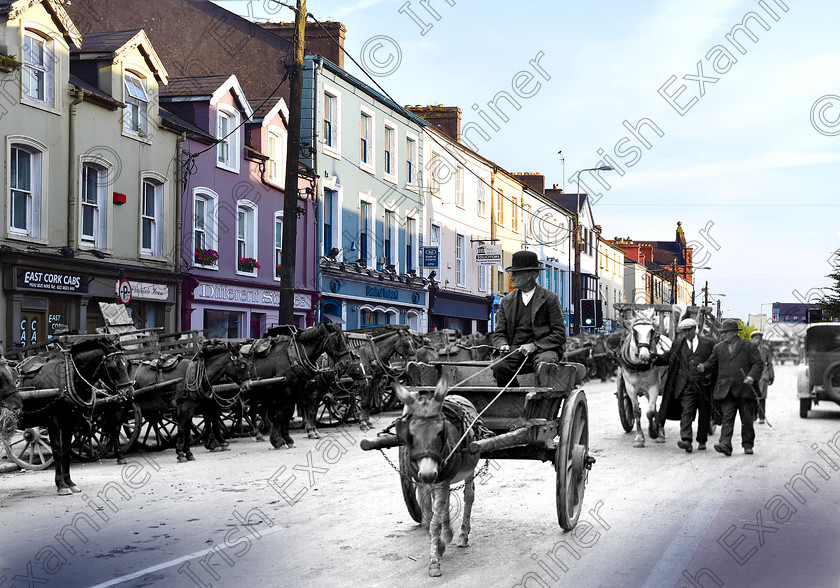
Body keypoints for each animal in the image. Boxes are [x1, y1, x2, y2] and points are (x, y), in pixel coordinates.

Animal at [15, 338, 135, 494]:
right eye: (114, 366)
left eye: (126, 363)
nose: (129, 392)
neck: (67, 380)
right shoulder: (53, 422)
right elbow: (57, 451)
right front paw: (61, 485)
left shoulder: (69, 421)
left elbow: (66, 450)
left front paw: (69, 482)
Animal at [392, 374, 480, 576]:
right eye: (411, 435)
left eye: (440, 432)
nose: (428, 473)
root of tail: (459, 396)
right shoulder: (424, 482)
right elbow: (430, 514)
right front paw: (439, 545)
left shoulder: (439, 482)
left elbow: (434, 522)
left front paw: (434, 562)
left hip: (468, 470)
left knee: (468, 496)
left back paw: (463, 535)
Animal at [616, 316, 676, 446]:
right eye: (635, 332)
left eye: (652, 331)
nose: (645, 356)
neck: (639, 367)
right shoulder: (630, 388)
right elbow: (636, 412)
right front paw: (639, 438)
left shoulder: (654, 387)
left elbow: (650, 411)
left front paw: (653, 432)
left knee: (659, 407)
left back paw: (660, 433)